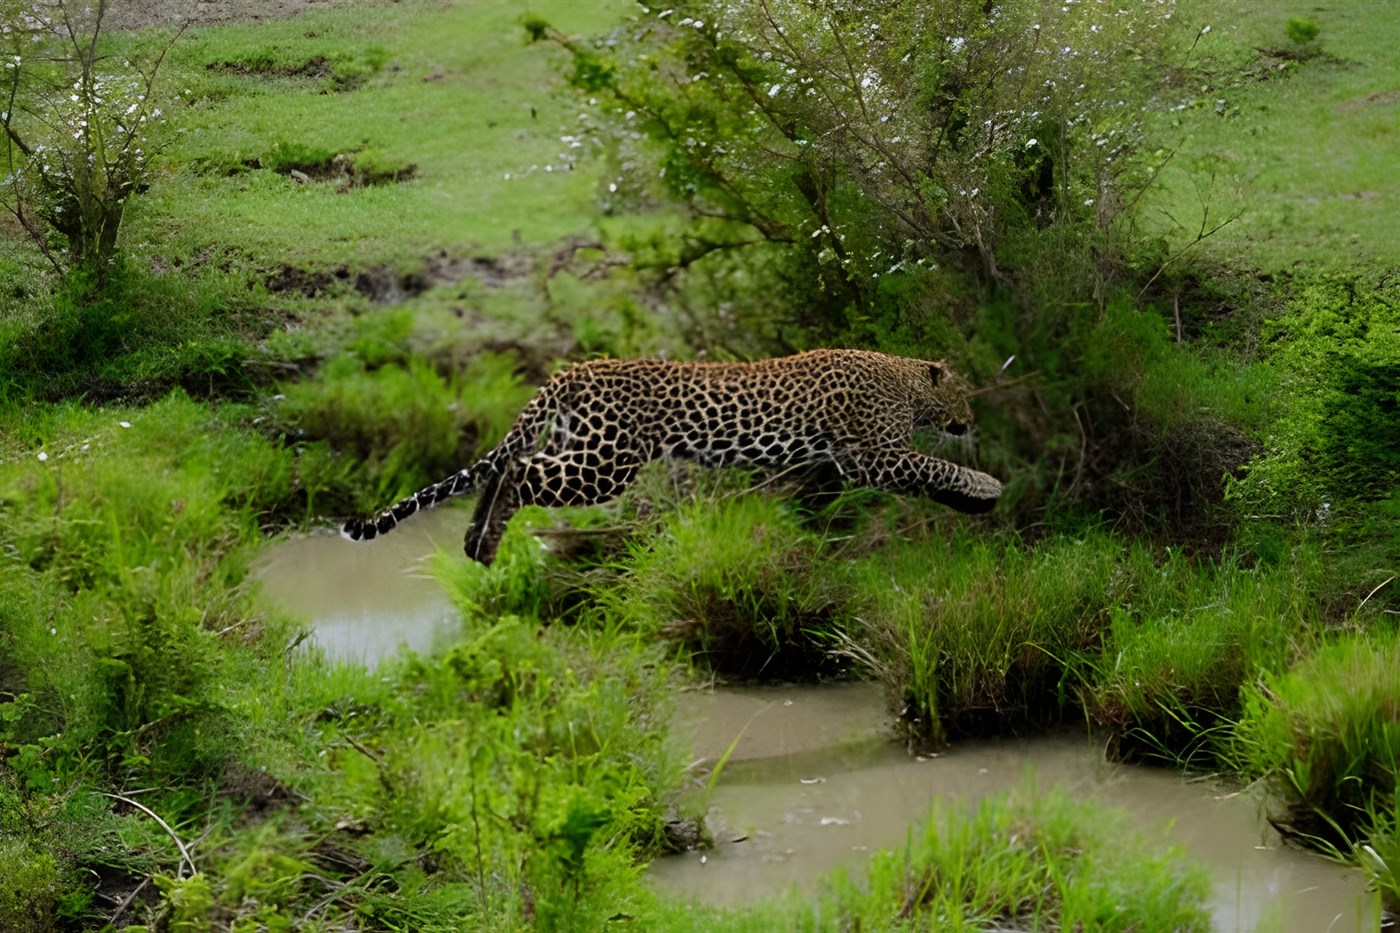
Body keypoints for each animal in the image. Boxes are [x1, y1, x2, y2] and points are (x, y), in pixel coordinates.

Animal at [341, 349, 1003, 565]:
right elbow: (935, 465)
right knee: (519, 472)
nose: (972, 421)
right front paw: (986, 484)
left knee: (506, 465)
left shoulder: (857, 463)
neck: (907, 384)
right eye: (965, 394)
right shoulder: (875, 454)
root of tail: (575, 369)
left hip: (576, 445)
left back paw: (476, 539)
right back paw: (485, 545)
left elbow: (929, 475)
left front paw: (973, 501)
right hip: (604, 465)